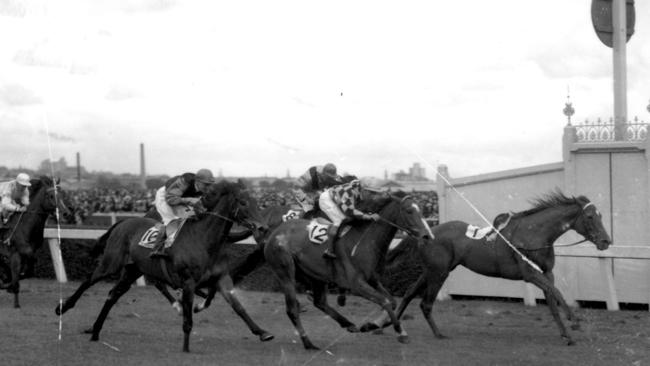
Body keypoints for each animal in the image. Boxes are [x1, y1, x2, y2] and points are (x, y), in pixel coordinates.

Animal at [0, 176, 70, 308]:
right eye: (51, 196)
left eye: (63, 194)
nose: (65, 213)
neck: (24, 227)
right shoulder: (15, 254)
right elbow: (15, 276)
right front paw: (13, 294)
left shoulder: (29, 253)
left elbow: (28, 272)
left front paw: (9, 284)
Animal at [53, 179, 270, 352]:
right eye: (243, 202)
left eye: (257, 203)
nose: (263, 228)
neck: (205, 241)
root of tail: (123, 222)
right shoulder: (188, 282)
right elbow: (188, 319)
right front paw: (186, 348)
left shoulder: (221, 278)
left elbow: (238, 307)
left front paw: (262, 332)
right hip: (111, 263)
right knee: (89, 280)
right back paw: (63, 307)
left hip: (132, 270)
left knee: (112, 295)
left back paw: (95, 332)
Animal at [260, 192, 432, 348]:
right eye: (409, 211)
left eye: (421, 211)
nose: (427, 236)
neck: (365, 239)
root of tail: (274, 233)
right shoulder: (356, 284)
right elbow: (385, 301)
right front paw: (401, 333)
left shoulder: (372, 279)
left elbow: (392, 301)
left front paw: (372, 325)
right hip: (285, 272)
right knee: (292, 309)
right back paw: (308, 343)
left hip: (316, 276)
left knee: (320, 302)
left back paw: (348, 324)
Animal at [372, 192, 612, 346]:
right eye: (590, 216)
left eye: (600, 215)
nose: (606, 241)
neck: (535, 233)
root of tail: (426, 233)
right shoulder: (530, 274)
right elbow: (558, 293)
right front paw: (575, 320)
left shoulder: (546, 273)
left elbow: (553, 301)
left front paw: (566, 335)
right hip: (439, 272)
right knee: (425, 302)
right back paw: (436, 333)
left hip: (432, 270)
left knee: (409, 294)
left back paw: (386, 326)